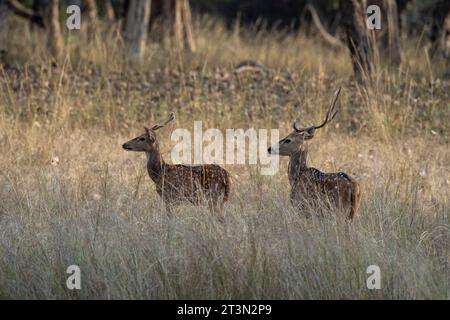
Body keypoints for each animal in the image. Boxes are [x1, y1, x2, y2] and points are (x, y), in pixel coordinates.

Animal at [268, 89, 360, 221]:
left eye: (288, 140)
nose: (269, 148)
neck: (296, 178)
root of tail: (353, 186)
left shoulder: (303, 206)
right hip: (353, 211)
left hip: (340, 209)